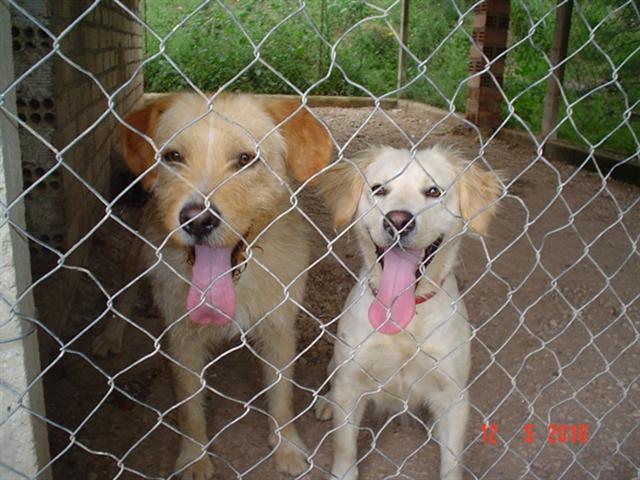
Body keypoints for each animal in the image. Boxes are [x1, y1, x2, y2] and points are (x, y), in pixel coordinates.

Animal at [93, 92, 332, 479]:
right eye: (173, 156)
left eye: (245, 159)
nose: (197, 220)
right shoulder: (181, 339)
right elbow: (189, 408)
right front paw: (194, 458)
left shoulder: (279, 329)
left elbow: (282, 396)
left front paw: (287, 448)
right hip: (137, 255)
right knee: (123, 295)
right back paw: (111, 335)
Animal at [315, 145, 502, 479]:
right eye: (379, 189)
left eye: (433, 191)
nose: (398, 220)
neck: (403, 320)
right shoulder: (351, 384)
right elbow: (344, 446)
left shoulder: (454, 393)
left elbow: (452, 462)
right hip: (338, 363)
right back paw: (325, 402)